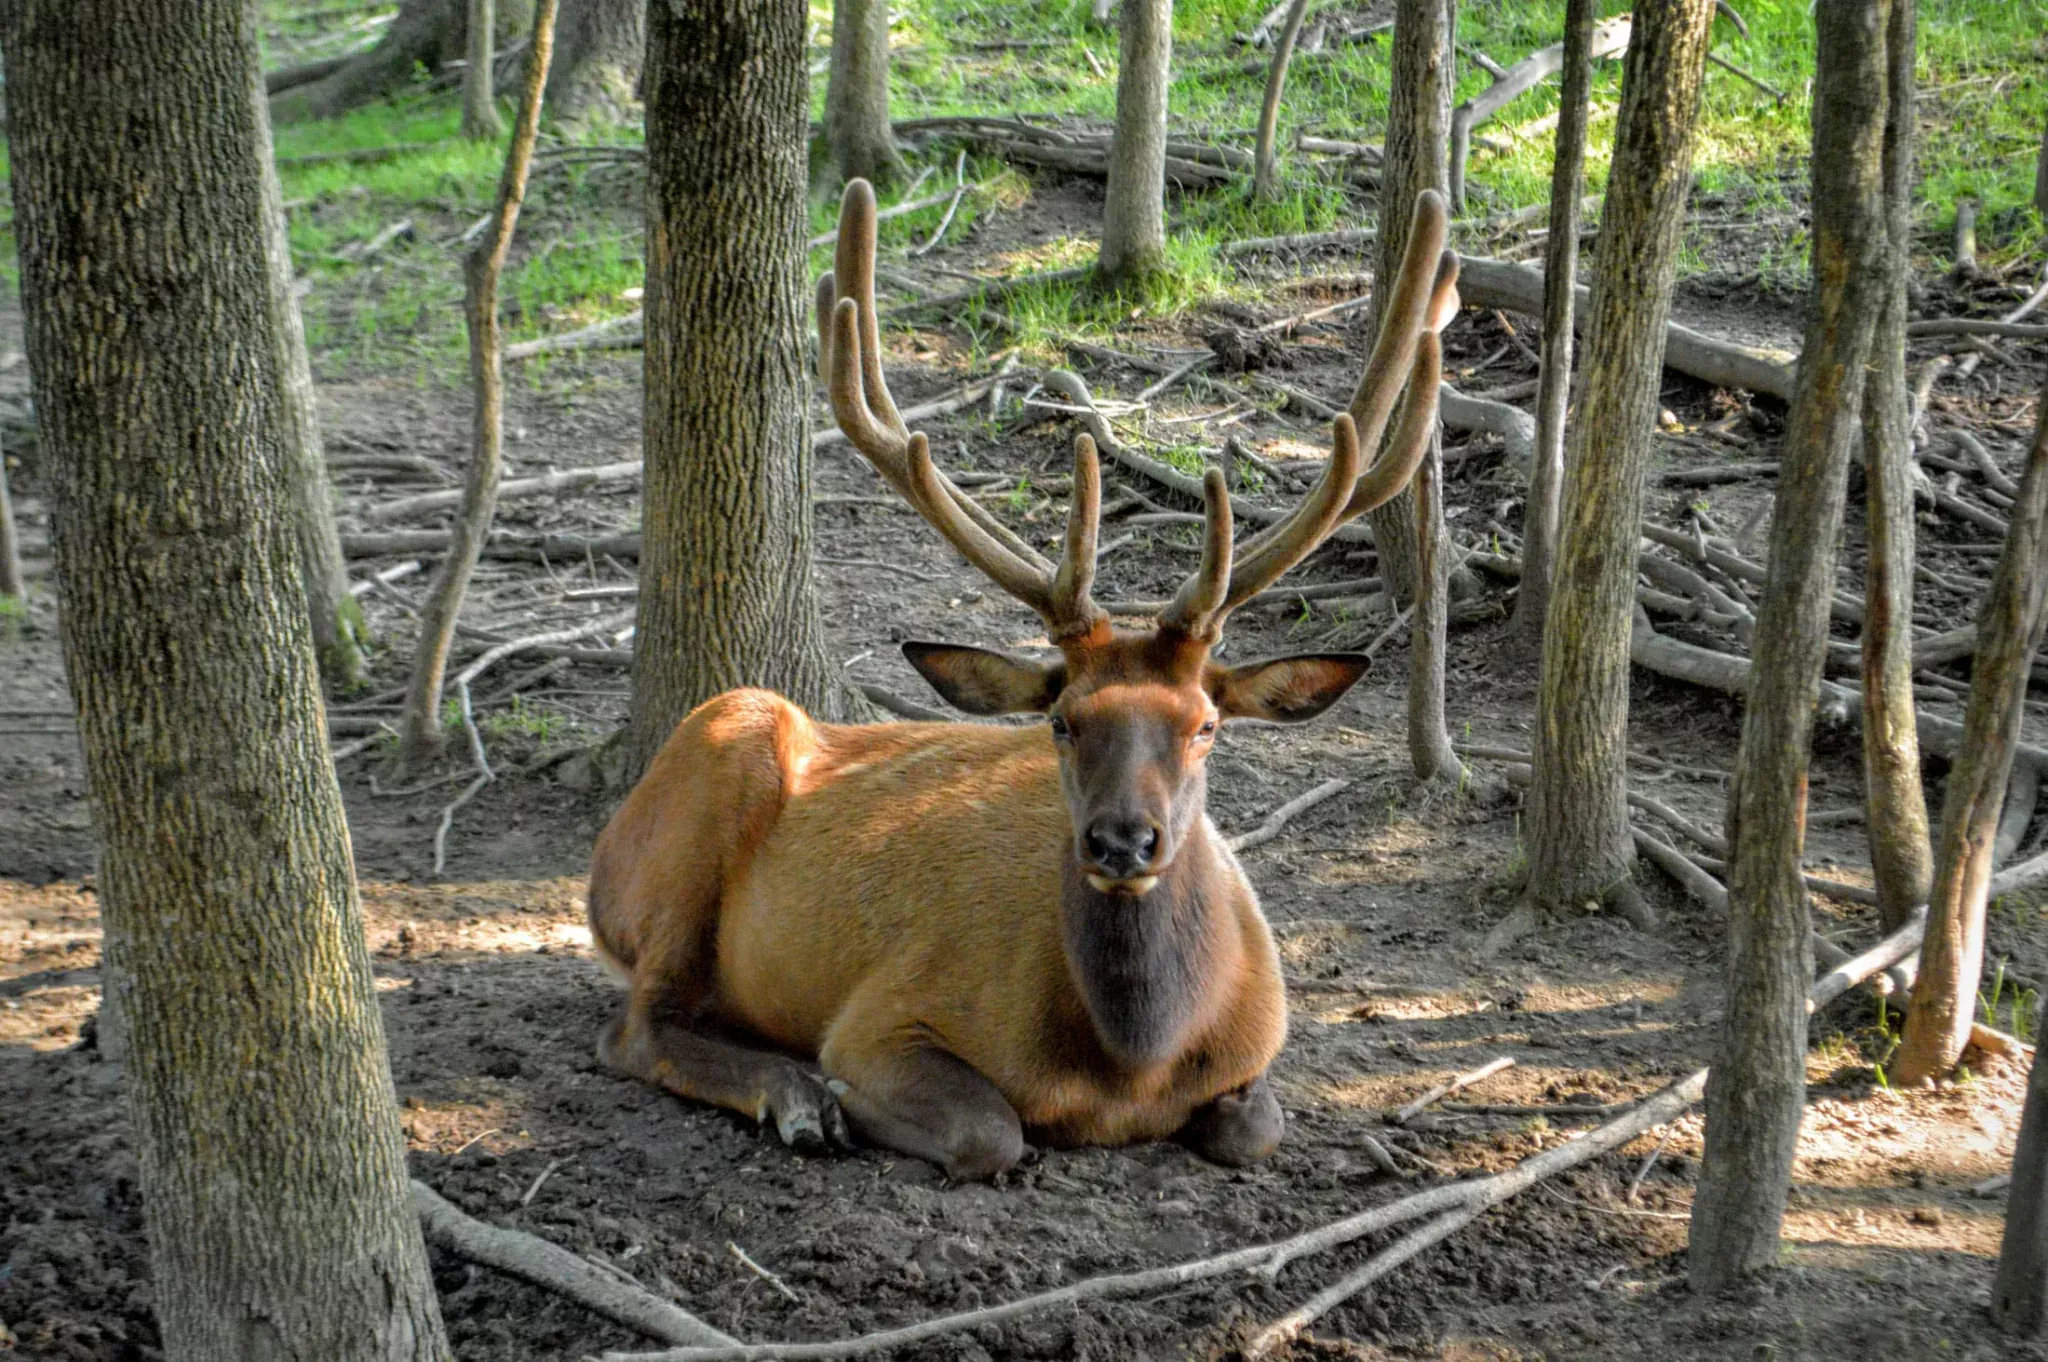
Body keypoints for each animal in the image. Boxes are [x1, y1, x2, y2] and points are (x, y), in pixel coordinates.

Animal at [585, 183, 1466, 1179]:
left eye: (1206, 724)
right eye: (1062, 722)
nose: (1122, 841)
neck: (1131, 1067)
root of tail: (604, 865)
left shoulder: (1262, 1045)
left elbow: (1253, 1128)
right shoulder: (883, 1015)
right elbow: (989, 1129)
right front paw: (836, 1094)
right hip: (714, 767)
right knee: (635, 1028)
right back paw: (795, 1097)